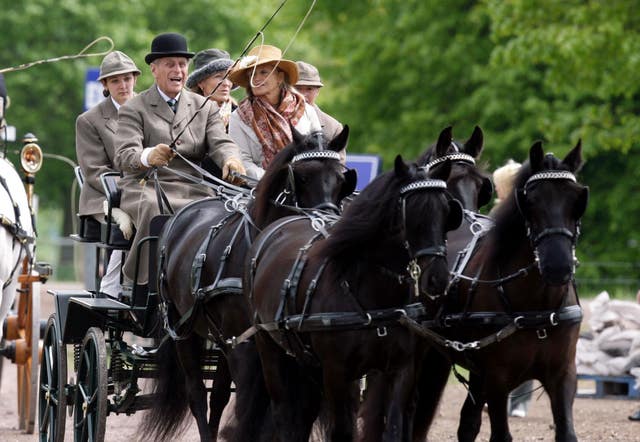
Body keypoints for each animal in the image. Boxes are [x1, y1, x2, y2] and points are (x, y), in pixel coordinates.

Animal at [142, 125, 358, 442]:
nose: (328, 223)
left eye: (342, 178)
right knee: (197, 394)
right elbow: (253, 408)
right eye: (302, 176)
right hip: (183, 331)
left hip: (222, 340)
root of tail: (179, 215)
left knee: (219, 396)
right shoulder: (249, 349)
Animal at [244, 157, 460, 440]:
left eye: (446, 212)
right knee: (284, 414)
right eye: (412, 212)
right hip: (270, 349)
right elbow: (342, 431)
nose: (438, 278)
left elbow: (392, 426)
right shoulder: (336, 373)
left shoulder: (400, 369)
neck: (375, 300)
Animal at [412, 142, 588, 442]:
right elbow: (501, 435)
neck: (537, 309)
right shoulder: (497, 379)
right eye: (531, 202)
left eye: (577, 200)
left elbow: (566, 433)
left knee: (466, 422)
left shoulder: (563, 375)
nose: (558, 265)